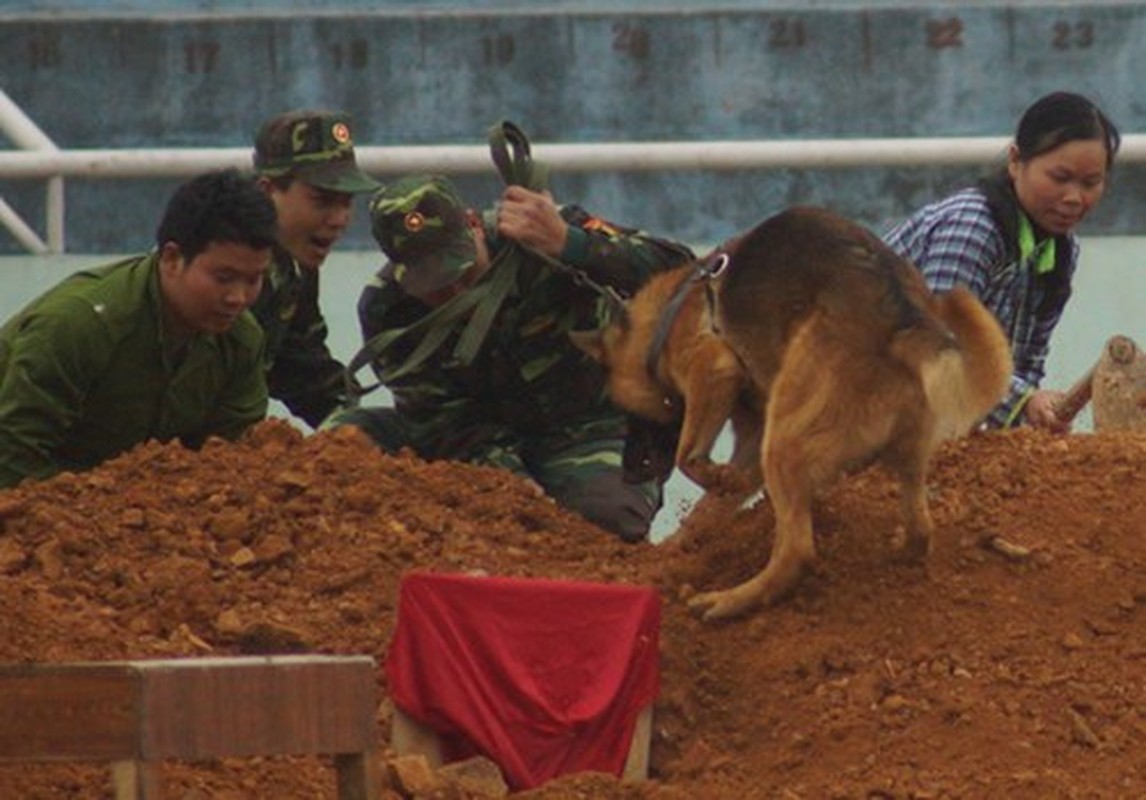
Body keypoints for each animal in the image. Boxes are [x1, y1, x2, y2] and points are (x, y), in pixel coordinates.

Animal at [577, 204, 1008, 618]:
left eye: (635, 417)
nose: (630, 474)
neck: (668, 311)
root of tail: (901, 320)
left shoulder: (714, 369)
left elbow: (690, 459)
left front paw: (718, 478)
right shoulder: (750, 429)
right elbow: (713, 502)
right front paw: (682, 543)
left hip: (783, 443)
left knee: (797, 551)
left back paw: (731, 600)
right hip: (901, 456)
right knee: (920, 530)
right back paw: (897, 551)